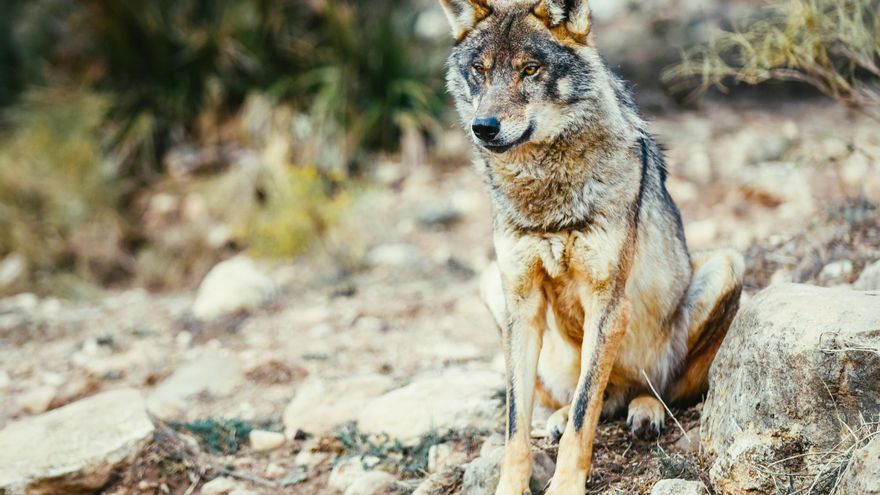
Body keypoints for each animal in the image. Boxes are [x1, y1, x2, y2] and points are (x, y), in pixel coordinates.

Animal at [437, 1, 744, 493]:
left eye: (529, 69)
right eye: (479, 72)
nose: (483, 127)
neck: (546, 196)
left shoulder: (608, 302)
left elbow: (586, 417)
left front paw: (565, 485)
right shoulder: (521, 303)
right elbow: (516, 426)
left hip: (727, 266)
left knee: (662, 389)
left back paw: (646, 409)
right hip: (493, 290)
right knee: (576, 398)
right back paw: (562, 415)